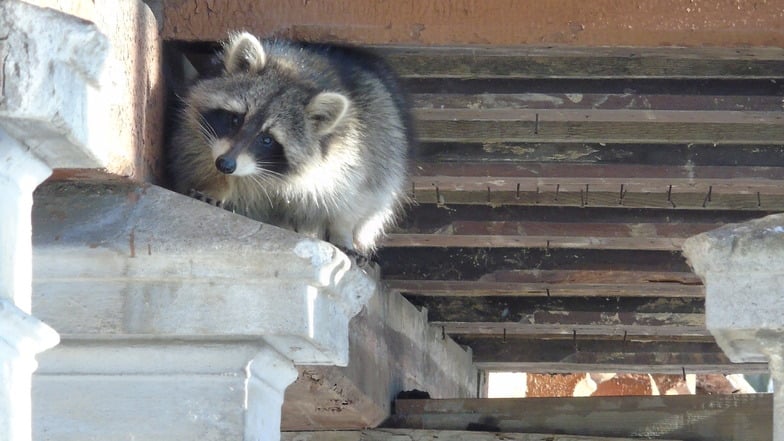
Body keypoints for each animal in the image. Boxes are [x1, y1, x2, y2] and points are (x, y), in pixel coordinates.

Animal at [167, 32, 410, 256]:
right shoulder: (198, 136)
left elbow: (357, 194)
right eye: (236, 119)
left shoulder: (360, 147)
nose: (225, 164)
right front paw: (217, 185)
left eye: (267, 139)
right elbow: (199, 155)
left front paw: (342, 229)